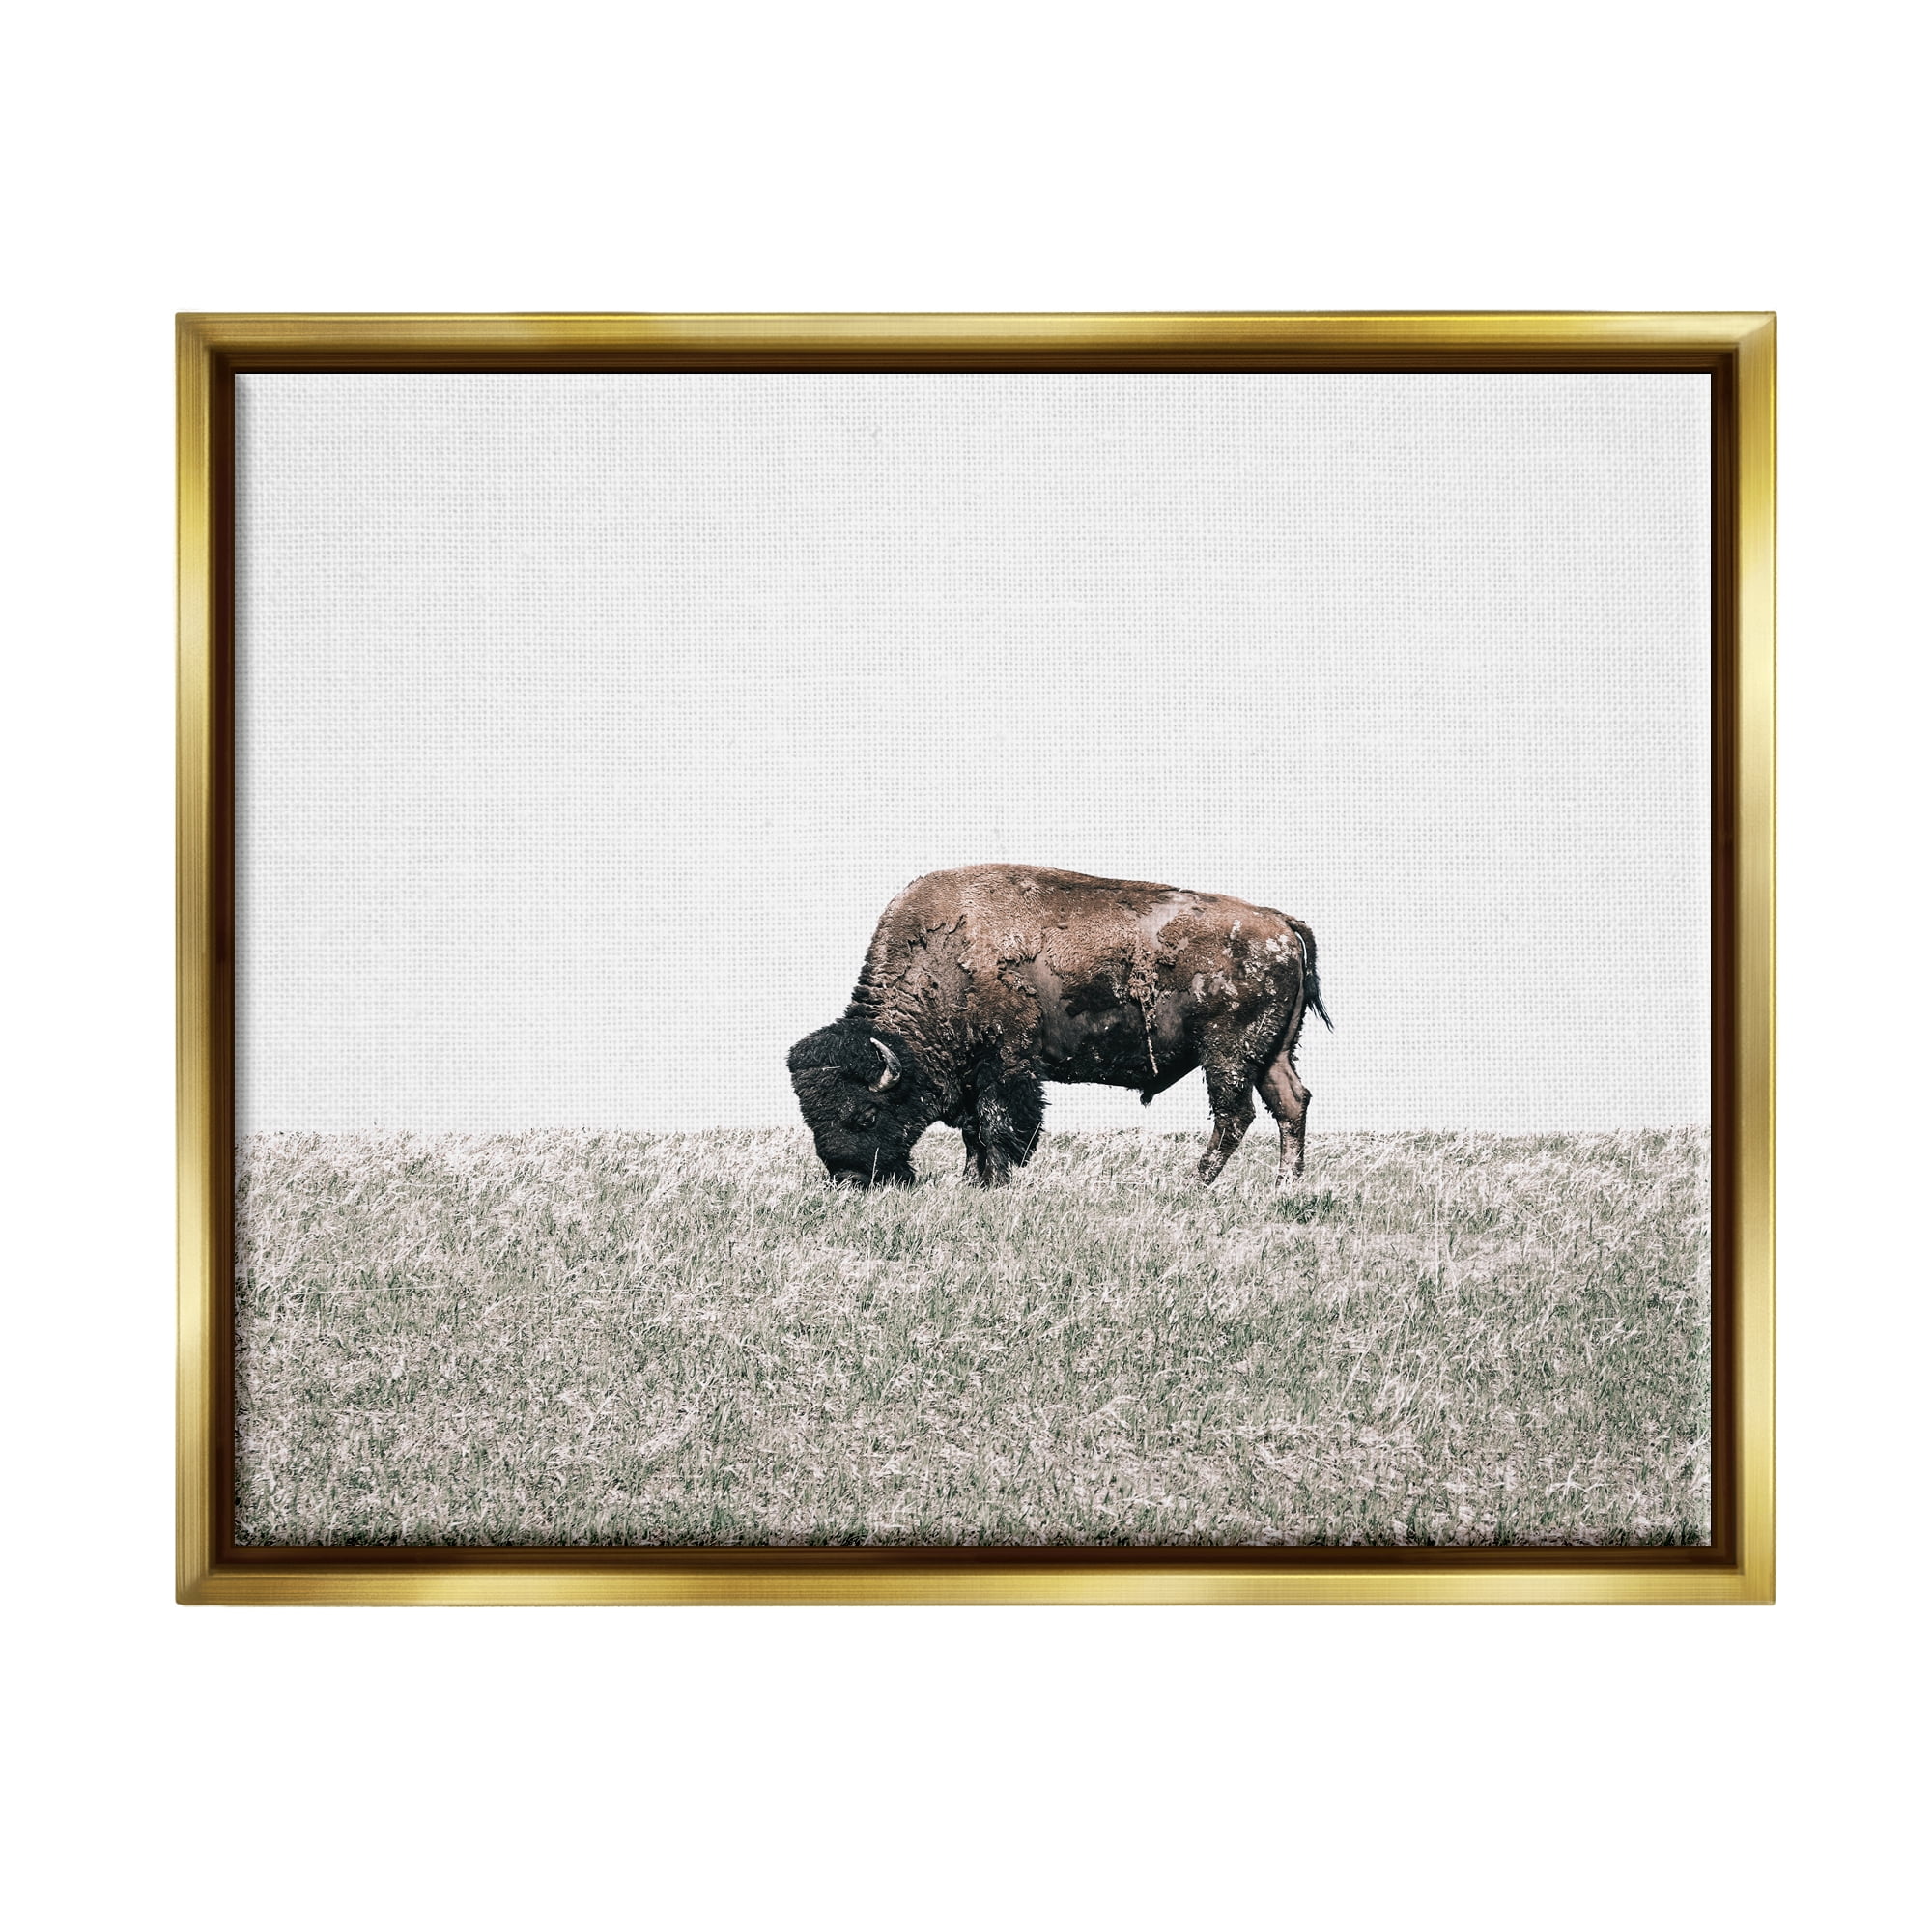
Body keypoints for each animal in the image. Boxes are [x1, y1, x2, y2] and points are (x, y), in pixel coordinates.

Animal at [788, 864, 1329, 1188]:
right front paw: (972, 1181)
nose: (849, 1179)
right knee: (1291, 1104)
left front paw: (996, 1181)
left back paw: (1195, 1183)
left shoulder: (1007, 1063)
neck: (943, 960)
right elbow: (973, 1132)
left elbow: (998, 1124)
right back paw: (1286, 1185)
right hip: (1273, 1052)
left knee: (1234, 1115)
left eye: (864, 1115)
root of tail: (1281, 924)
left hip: (1227, 1053)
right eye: (812, 1118)